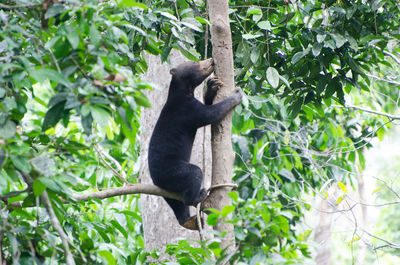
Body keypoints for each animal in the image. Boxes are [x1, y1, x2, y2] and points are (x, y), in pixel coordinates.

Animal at [148, 57, 242, 229]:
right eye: (195, 63)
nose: (211, 59)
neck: (183, 92)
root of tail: (156, 179)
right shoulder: (188, 111)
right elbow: (210, 114)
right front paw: (236, 95)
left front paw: (212, 85)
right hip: (174, 172)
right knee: (194, 174)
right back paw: (199, 196)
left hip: (167, 188)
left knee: (175, 203)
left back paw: (188, 221)